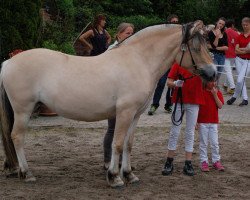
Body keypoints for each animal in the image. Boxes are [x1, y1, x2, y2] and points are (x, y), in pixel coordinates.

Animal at [0, 20, 216, 188]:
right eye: (196, 47)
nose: (213, 73)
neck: (139, 61)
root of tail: (8, 63)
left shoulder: (135, 115)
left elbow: (128, 144)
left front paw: (129, 175)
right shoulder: (124, 113)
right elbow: (117, 144)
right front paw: (114, 177)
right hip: (23, 110)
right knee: (17, 137)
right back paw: (26, 173)